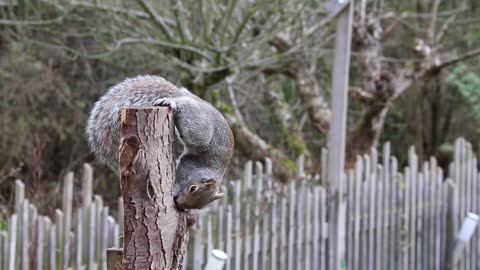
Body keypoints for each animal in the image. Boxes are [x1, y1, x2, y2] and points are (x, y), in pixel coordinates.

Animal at [88, 75, 236, 210]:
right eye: (193, 188)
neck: (204, 170)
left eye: (199, 207)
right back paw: (173, 103)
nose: (179, 204)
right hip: (199, 125)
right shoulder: (188, 165)